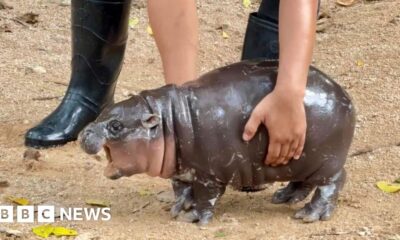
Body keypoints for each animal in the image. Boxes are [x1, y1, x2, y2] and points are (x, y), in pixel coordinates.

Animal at [79, 60, 354, 225]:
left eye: (116, 126)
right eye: (103, 111)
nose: (84, 133)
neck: (167, 121)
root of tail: (345, 95)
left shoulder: (209, 174)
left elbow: (205, 197)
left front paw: (193, 218)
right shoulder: (182, 170)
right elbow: (181, 189)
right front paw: (178, 208)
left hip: (326, 162)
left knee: (333, 183)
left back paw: (309, 215)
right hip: (301, 160)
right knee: (303, 182)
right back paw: (283, 197)